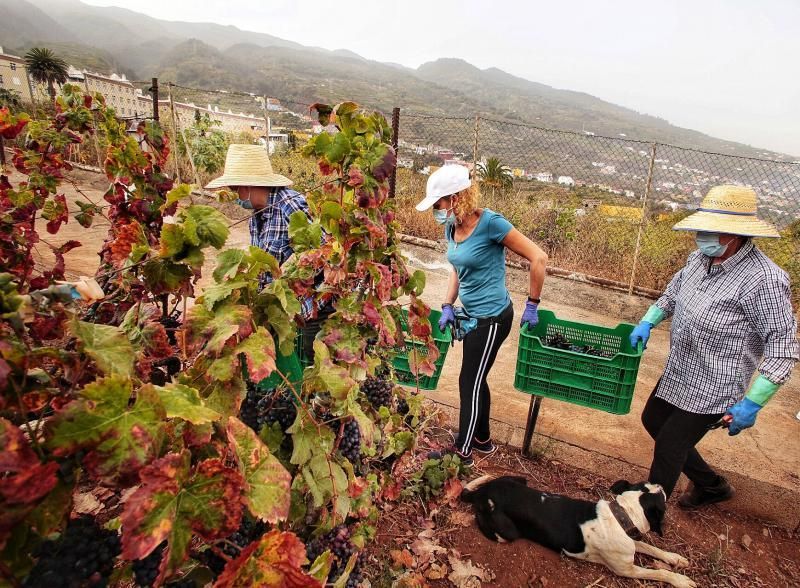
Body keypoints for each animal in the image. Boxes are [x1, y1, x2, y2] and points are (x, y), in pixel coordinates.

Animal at [460, 476, 696, 584]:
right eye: (661, 497)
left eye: (648, 485)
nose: (661, 485)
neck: (621, 515)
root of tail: (482, 493)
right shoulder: (626, 570)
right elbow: (659, 572)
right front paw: (681, 581)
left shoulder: (631, 542)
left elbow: (651, 548)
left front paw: (676, 558)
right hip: (506, 533)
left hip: (520, 479)